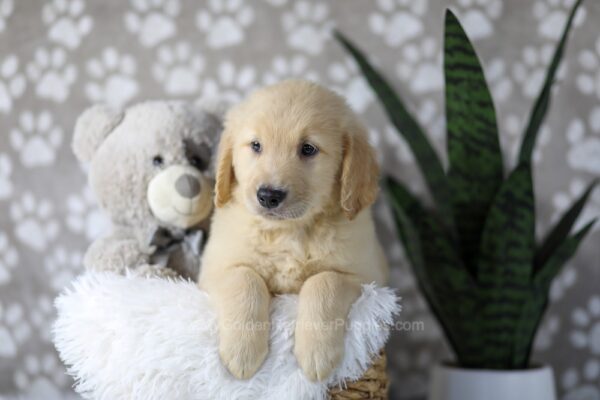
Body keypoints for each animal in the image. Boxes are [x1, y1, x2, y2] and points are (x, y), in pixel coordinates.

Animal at [199, 79, 390, 382]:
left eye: (308, 149)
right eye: (256, 145)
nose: (268, 195)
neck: (288, 231)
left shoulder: (368, 279)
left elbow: (324, 281)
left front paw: (316, 354)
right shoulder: (216, 267)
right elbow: (246, 279)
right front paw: (242, 352)